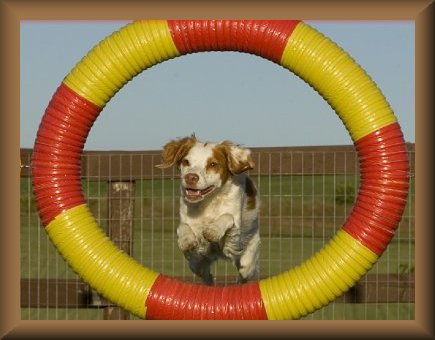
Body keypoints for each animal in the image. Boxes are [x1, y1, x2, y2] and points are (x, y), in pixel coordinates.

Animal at [156, 135, 260, 284]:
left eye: (213, 164)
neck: (208, 202)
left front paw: (213, 230)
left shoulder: (233, 241)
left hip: (248, 264)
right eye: (186, 161)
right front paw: (186, 239)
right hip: (197, 266)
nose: (190, 177)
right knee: (206, 275)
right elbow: (182, 226)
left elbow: (227, 217)